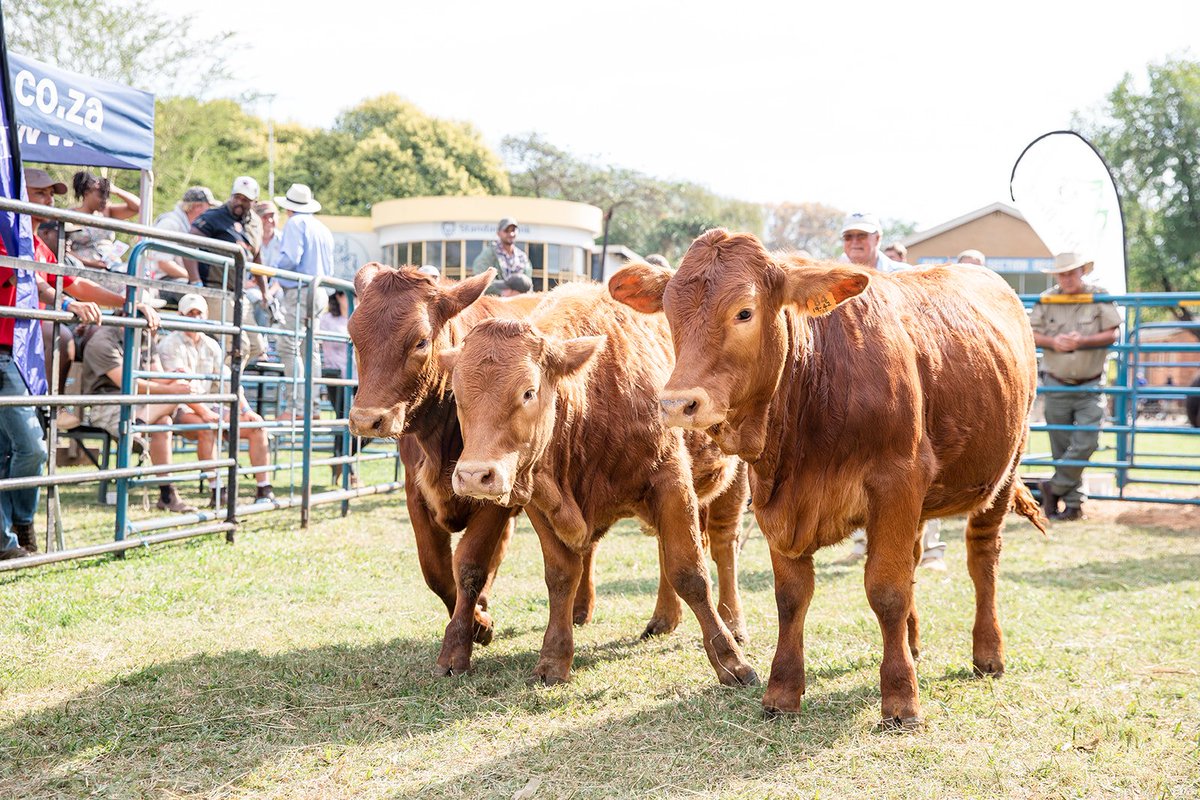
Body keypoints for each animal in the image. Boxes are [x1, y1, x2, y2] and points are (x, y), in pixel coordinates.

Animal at [346, 264, 749, 680]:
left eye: (528, 392)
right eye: (458, 395)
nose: (365, 420)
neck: (592, 399)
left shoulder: (669, 481)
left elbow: (690, 571)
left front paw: (731, 661)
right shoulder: (519, 496)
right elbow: (543, 574)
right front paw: (539, 652)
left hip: (734, 480)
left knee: (723, 545)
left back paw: (732, 622)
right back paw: (649, 616)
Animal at [609, 229, 1046, 727]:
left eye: (744, 311)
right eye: (669, 313)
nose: (677, 403)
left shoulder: (896, 481)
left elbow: (886, 589)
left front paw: (901, 698)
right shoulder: (776, 501)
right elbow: (791, 596)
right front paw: (782, 690)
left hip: (1005, 469)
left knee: (982, 558)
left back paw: (988, 653)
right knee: (916, 558)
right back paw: (913, 641)